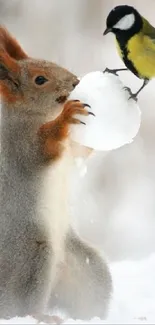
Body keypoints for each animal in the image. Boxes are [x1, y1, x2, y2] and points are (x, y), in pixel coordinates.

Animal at [0, 26, 112, 322]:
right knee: (19, 306)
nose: (75, 82)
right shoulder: (19, 145)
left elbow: (83, 149)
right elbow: (40, 150)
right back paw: (41, 316)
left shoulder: (72, 147)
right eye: (40, 79)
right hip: (33, 256)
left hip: (88, 267)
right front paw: (66, 116)